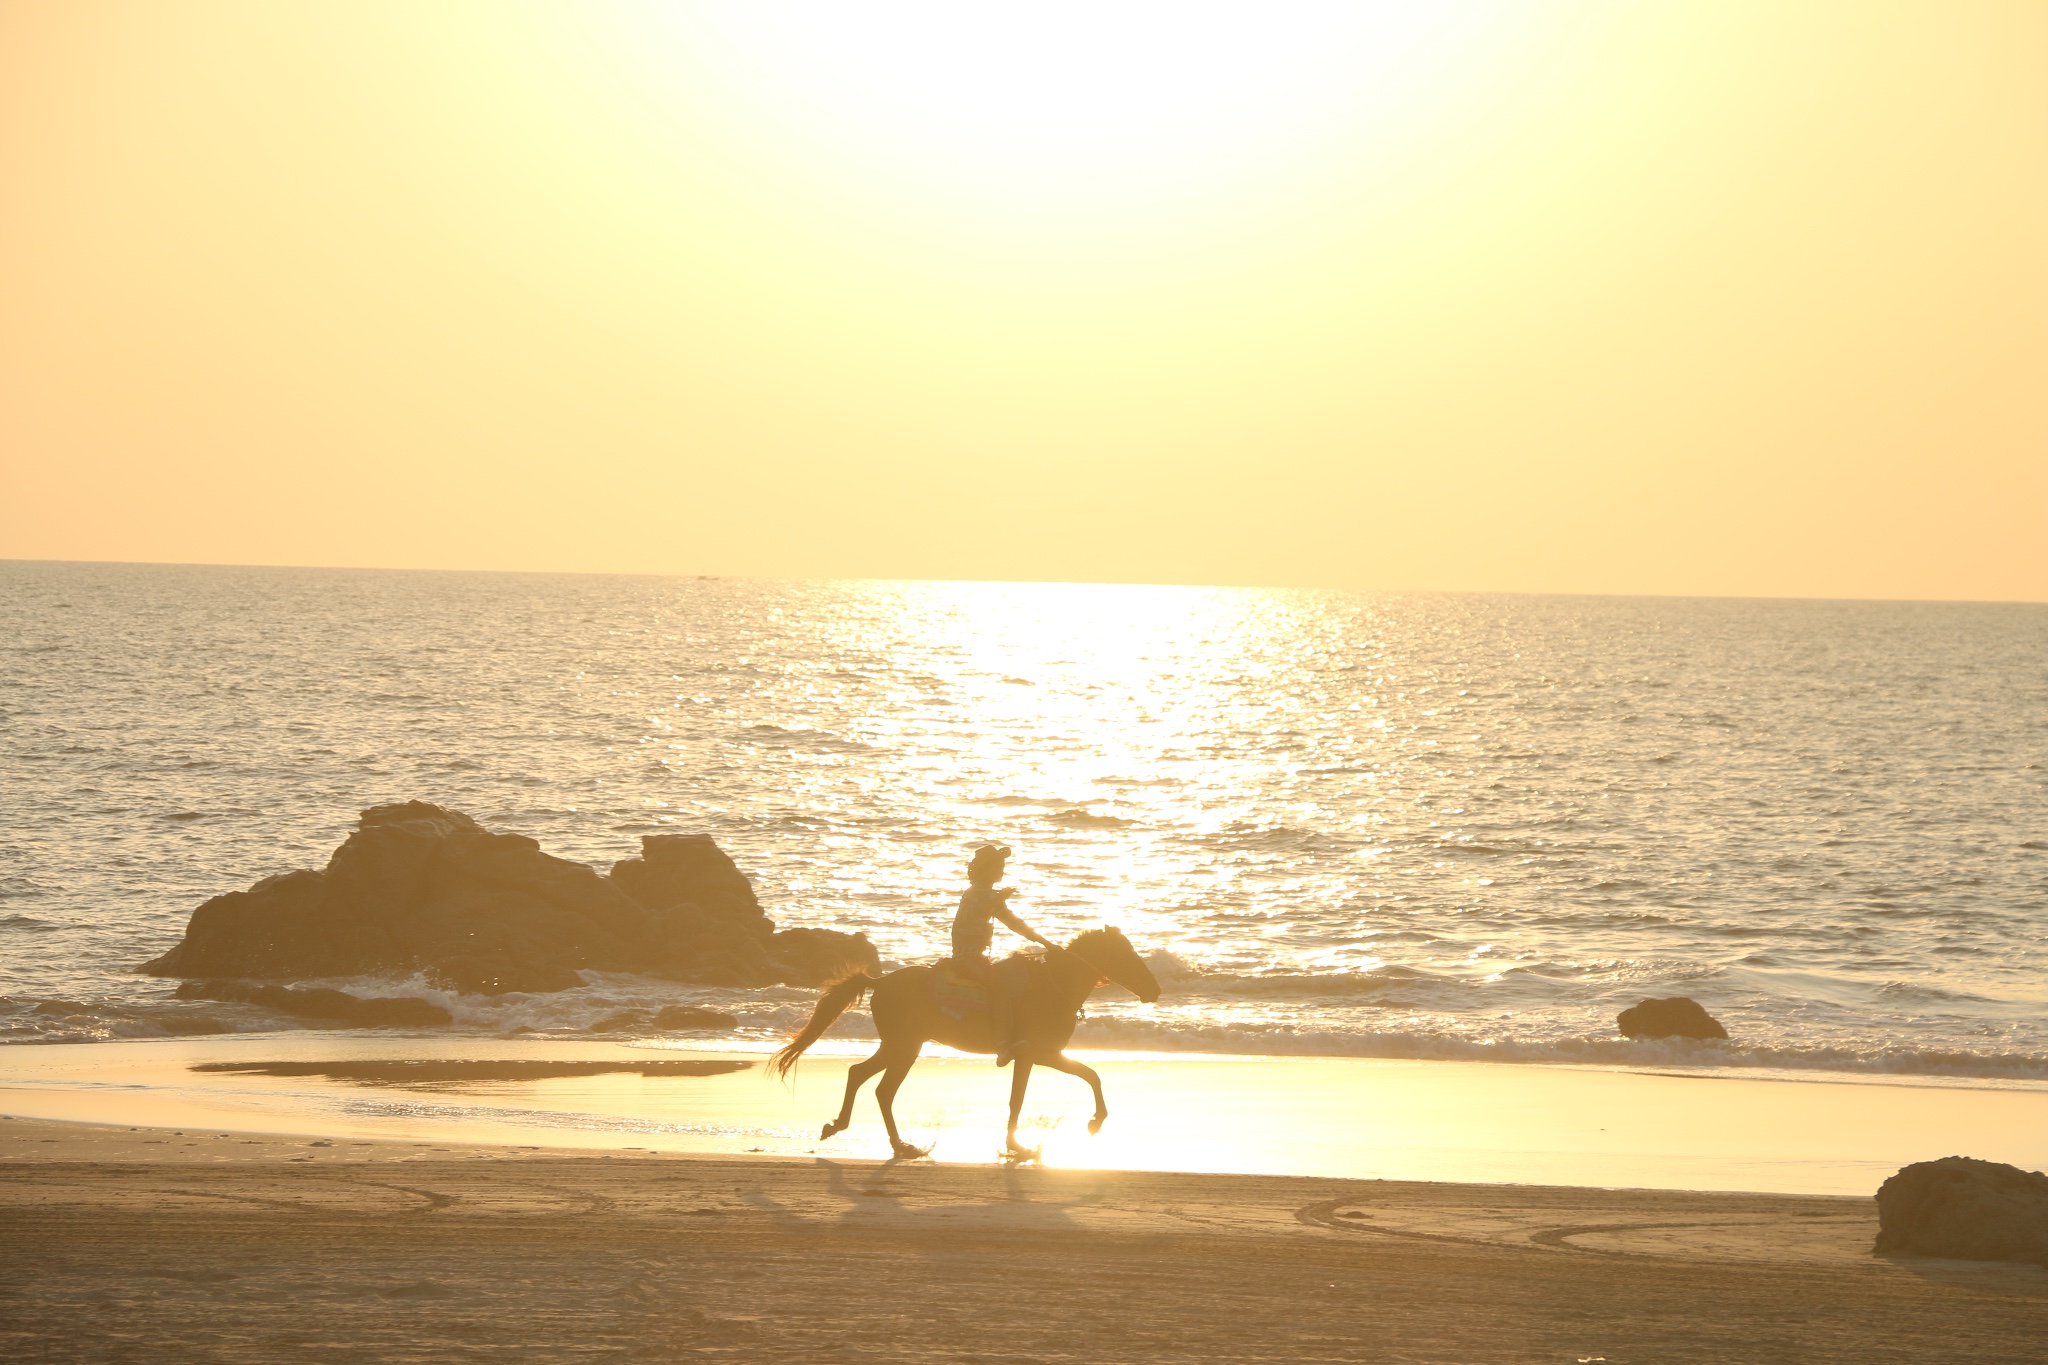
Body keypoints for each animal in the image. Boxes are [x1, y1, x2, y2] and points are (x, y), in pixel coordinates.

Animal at [770, 925, 1163, 1162]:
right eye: (1127, 954)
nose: (1156, 989)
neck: (1052, 987)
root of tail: (879, 981)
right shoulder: (1039, 1054)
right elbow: (1044, 1091)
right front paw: (1030, 1144)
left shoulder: (1042, 1056)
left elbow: (1081, 1078)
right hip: (905, 1048)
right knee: (882, 1090)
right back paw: (899, 1145)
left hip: (898, 1046)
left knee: (858, 1074)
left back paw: (846, 1128)